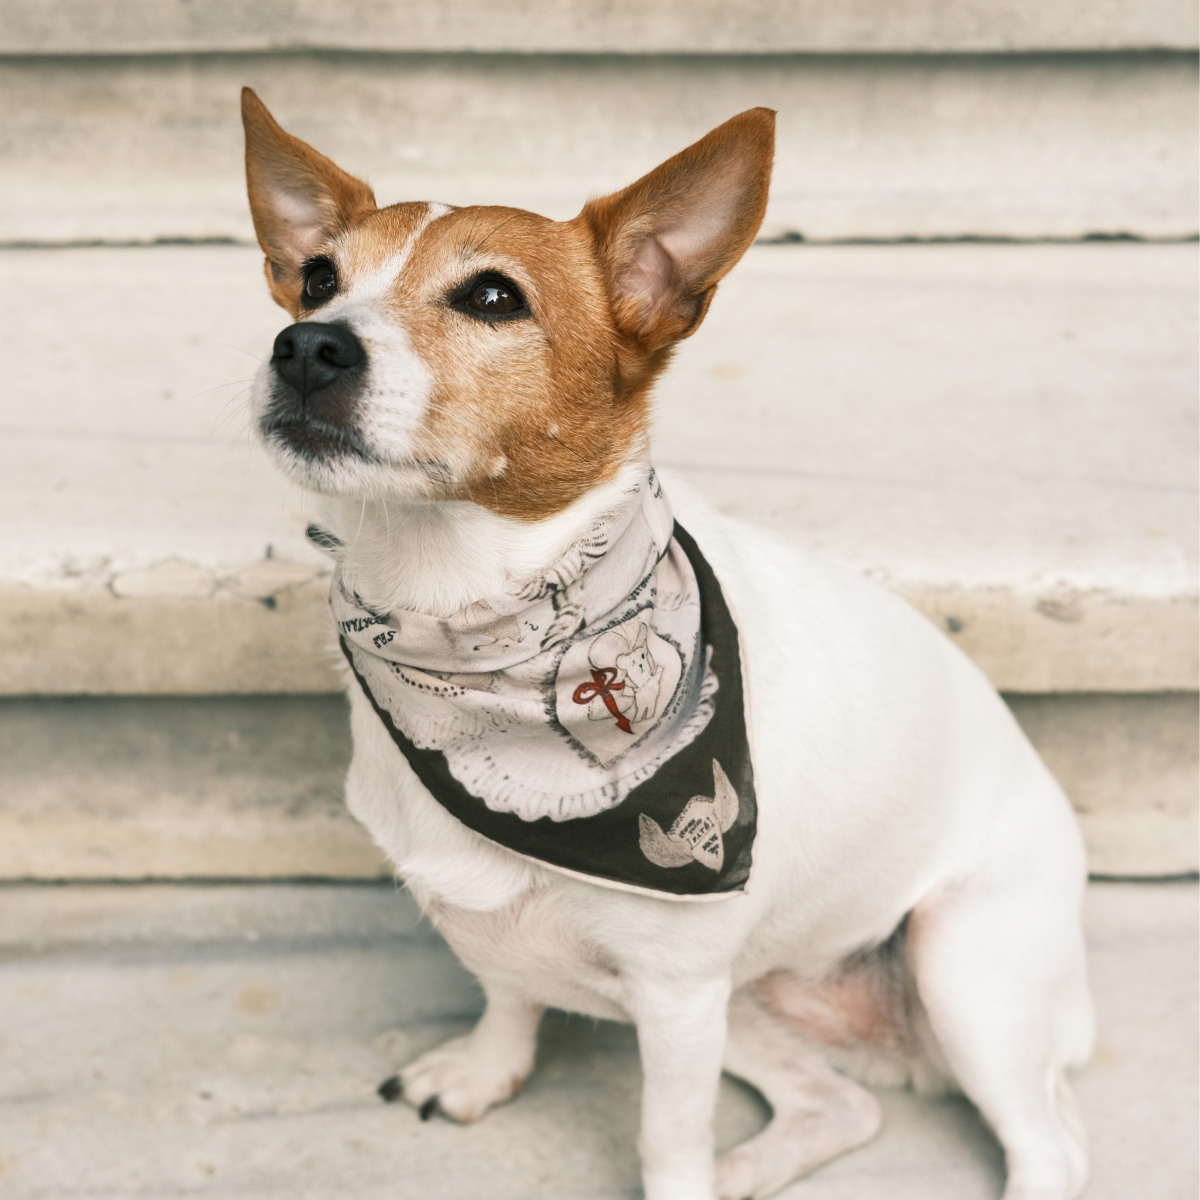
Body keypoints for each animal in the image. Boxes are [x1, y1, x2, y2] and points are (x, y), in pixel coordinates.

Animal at [238, 87, 1094, 1200]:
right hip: (757, 1000)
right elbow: (507, 989)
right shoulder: (556, 952)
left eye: (493, 298)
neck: (459, 614)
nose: (307, 347)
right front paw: (485, 1070)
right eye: (315, 279)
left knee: (1050, 1148)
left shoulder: (679, 999)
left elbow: (664, 1139)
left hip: (962, 966)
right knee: (840, 1105)